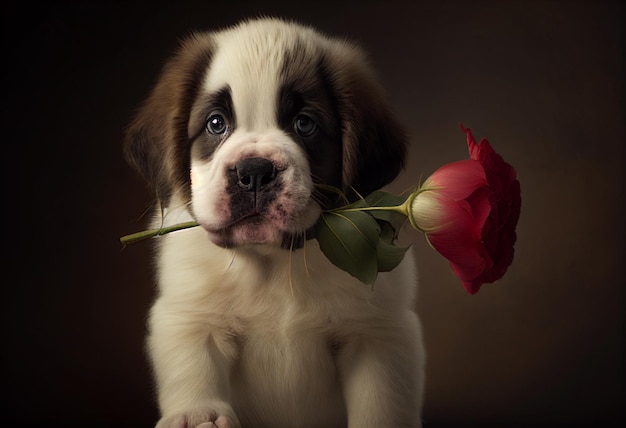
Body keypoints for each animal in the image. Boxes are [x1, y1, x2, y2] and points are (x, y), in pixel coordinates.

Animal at [124, 17, 424, 428]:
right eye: (216, 124)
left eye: (304, 124)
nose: (253, 172)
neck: (273, 262)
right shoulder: (190, 315)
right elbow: (194, 368)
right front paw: (199, 415)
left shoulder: (378, 331)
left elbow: (381, 402)